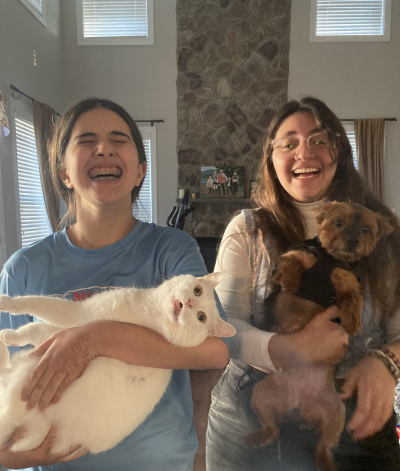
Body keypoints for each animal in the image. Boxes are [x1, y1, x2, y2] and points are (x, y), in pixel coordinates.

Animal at [0, 272, 234, 458]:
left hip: (25, 371)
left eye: (201, 317)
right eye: (197, 290)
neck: (151, 314)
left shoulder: (75, 319)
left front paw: (7, 311)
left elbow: (35, 315)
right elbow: (35, 323)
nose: (191, 303)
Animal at [247, 202, 394, 471]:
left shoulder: (348, 279)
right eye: (338, 223)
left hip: (336, 413)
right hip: (261, 395)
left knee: (323, 446)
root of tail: (298, 410)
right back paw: (258, 438)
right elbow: (292, 262)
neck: (332, 259)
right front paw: (291, 280)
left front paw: (352, 319)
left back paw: (326, 463)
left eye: (366, 229)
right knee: (272, 429)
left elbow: (351, 293)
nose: (352, 241)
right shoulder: (301, 257)